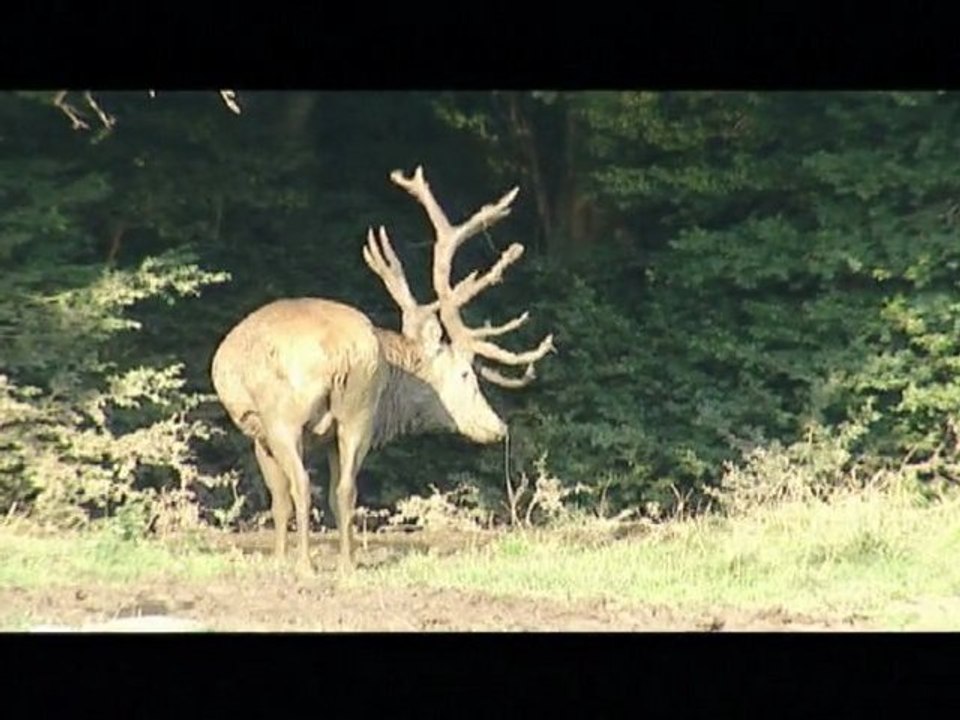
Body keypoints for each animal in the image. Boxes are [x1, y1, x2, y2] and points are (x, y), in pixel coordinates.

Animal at [210, 165, 554, 575]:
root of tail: (340, 353)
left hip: (288, 415)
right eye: (466, 375)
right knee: (342, 489)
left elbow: (278, 497)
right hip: (354, 411)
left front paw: (278, 560)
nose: (498, 427)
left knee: (303, 486)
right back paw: (345, 564)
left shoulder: (257, 427)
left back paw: (307, 565)